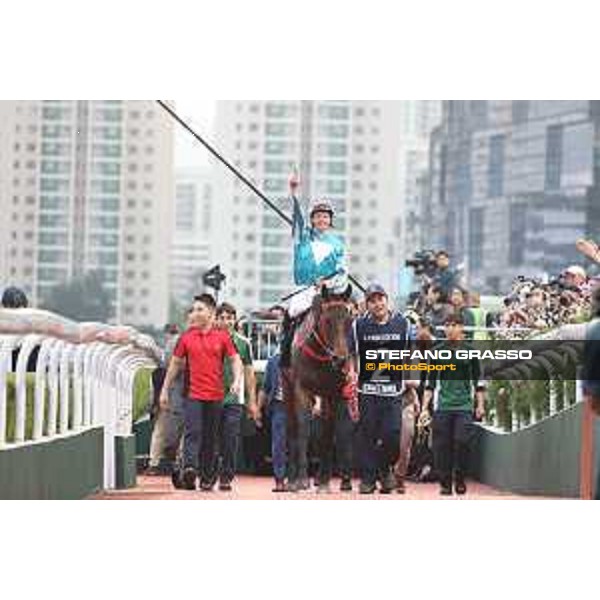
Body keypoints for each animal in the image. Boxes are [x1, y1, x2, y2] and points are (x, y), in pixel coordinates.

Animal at [282, 286, 354, 492]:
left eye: (349, 320)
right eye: (327, 320)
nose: (341, 359)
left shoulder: (333, 392)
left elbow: (328, 432)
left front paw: (323, 481)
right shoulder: (301, 389)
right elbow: (303, 428)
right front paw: (301, 479)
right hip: (287, 387)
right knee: (292, 428)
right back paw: (291, 480)